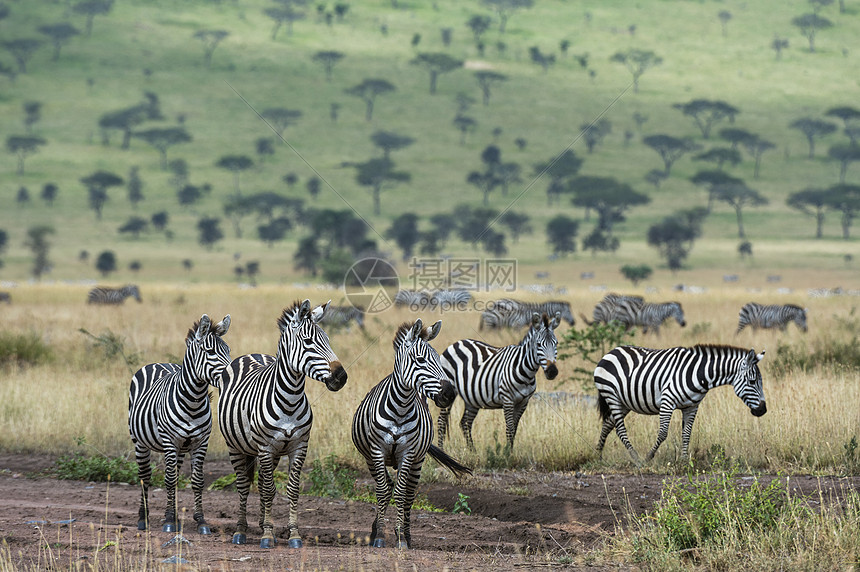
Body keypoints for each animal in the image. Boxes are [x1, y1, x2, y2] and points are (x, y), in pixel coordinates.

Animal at [127, 316, 232, 536]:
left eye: (228, 350)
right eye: (210, 351)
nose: (231, 375)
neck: (193, 401)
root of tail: (159, 363)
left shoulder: (201, 442)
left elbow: (197, 481)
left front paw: (200, 521)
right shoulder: (170, 441)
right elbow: (169, 479)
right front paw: (168, 521)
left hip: (181, 448)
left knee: (172, 473)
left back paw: (173, 515)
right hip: (139, 441)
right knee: (144, 476)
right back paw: (143, 518)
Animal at [217, 302, 348, 548]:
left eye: (327, 339)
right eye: (308, 341)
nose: (341, 377)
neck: (290, 399)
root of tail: (251, 354)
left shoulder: (299, 447)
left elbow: (291, 490)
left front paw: (292, 533)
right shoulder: (266, 447)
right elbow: (269, 490)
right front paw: (268, 536)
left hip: (272, 452)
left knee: (259, 483)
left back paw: (261, 524)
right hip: (236, 446)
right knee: (243, 484)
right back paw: (240, 530)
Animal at [350, 320, 470, 548]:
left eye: (439, 360)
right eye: (420, 360)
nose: (449, 394)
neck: (401, 406)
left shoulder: (407, 453)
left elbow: (400, 493)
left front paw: (399, 537)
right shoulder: (377, 450)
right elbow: (382, 491)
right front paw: (380, 535)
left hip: (417, 461)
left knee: (409, 493)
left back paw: (406, 534)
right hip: (370, 459)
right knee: (385, 487)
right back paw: (375, 529)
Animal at [436, 312, 564, 452]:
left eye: (556, 343)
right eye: (539, 345)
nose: (552, 371)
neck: (525, 371)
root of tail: (457, 343)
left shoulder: (523, 402)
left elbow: (515, 429)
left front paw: (511, 451)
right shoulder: (507, 400)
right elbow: (510, 428)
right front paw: (508, 453)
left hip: (472, 398)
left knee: (465, 423)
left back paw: (472, 452)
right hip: (449, 391)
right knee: (441, 421)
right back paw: (441, 449)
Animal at [596, 342, 768, 462]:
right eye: (752, 382)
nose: (763, 410)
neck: (699, 375)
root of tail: (611, 351)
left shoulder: (691, 407)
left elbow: (686, 434)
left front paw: (684, 461)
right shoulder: (667, 401)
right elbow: (663, 433)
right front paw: (648, 457)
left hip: (624, 403)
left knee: (608, 424)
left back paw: (598, 455)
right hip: (611, 396)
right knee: (619, 429)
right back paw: (636, 458)